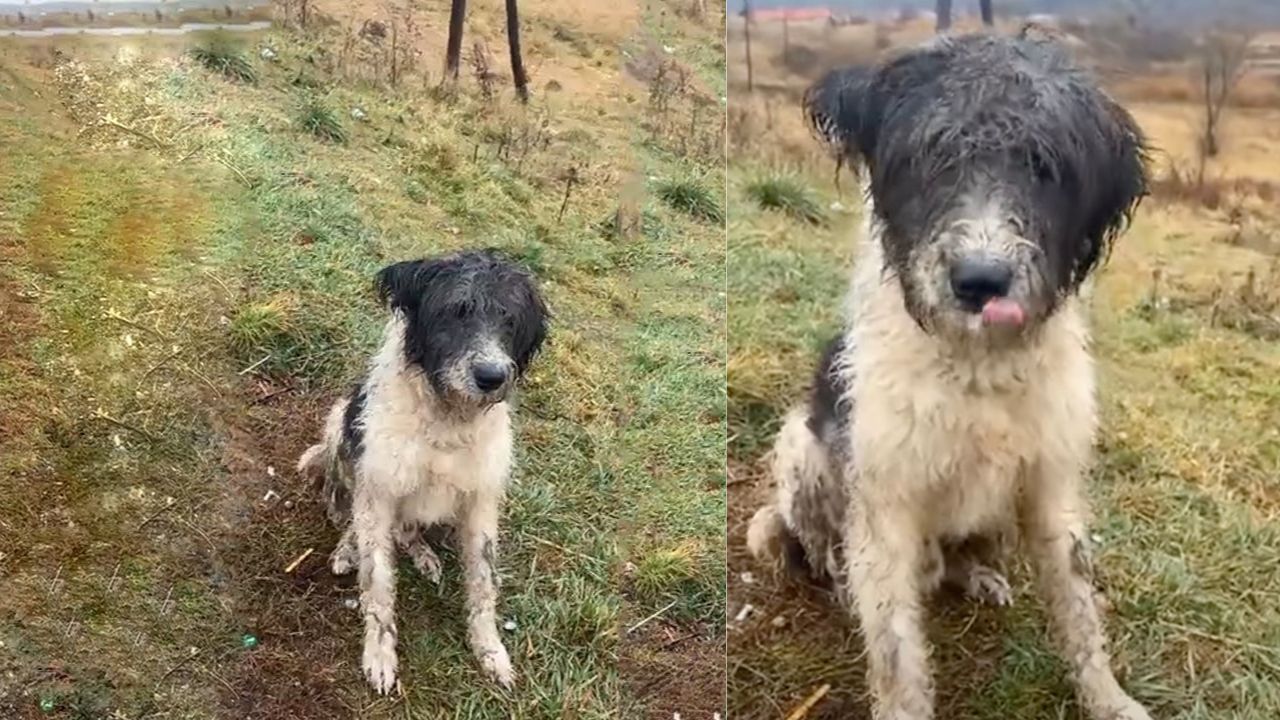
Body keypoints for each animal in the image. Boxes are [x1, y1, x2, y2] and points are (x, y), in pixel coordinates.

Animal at [299, 245, 550, 691]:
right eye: (455, 310)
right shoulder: (378, 489)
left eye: (510, 320)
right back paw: (347, 547)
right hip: (339, 427)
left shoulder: (480, 502)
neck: (446, 419)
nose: (491, 377)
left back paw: (423, 554)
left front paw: (490, 651)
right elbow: (378, 580)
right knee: (351, 516)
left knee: (408, 529)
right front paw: (380, 656)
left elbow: (483, 582)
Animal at [747, 30, 1157, 712]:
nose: (979, 281)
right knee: (818, 545)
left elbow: (1077, 604)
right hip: (803, 452)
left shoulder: (1051, 484)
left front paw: (1107, 699)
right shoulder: (883, 500)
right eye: (932, 154)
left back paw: (978, 575)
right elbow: (895, 652)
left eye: (1044, 166)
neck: (975, 368)